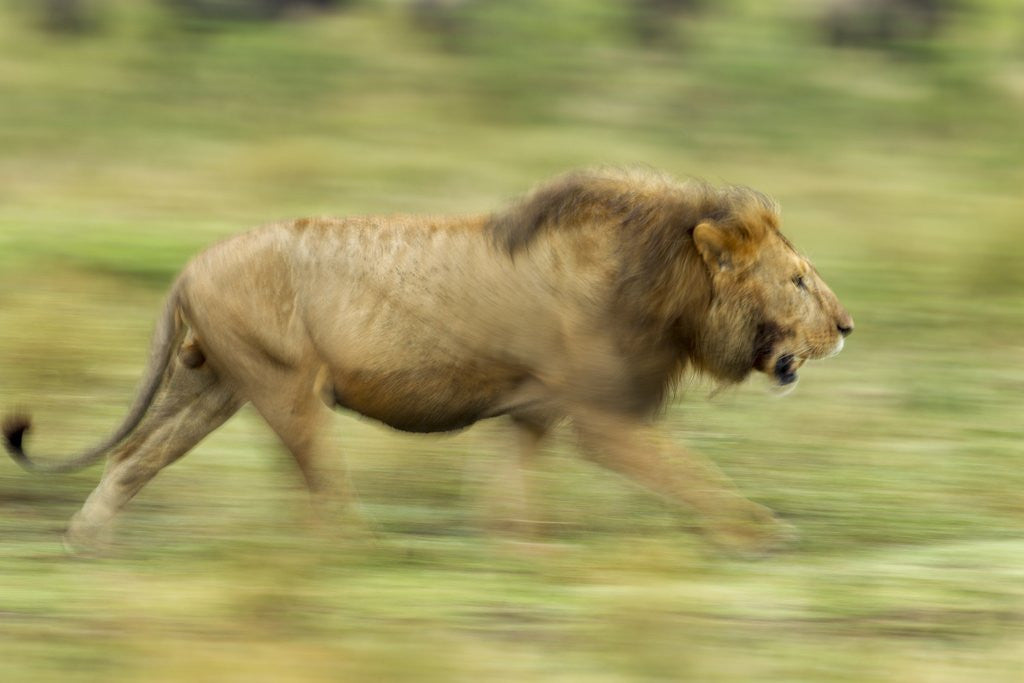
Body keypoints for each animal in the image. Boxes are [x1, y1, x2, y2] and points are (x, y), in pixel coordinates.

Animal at [3, 168, 853, 554]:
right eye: (797, 280)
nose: (847, 325)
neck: (664, 279)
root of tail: (187, 266)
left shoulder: (535, 408)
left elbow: (508, 493)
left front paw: (519, 549)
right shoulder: (601, 417)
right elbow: (691, 474)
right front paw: (761, 531)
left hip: (211, 384)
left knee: (132, 458)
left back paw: (88, 542)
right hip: (284, 384)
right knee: (323, 485)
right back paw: (364, 553)